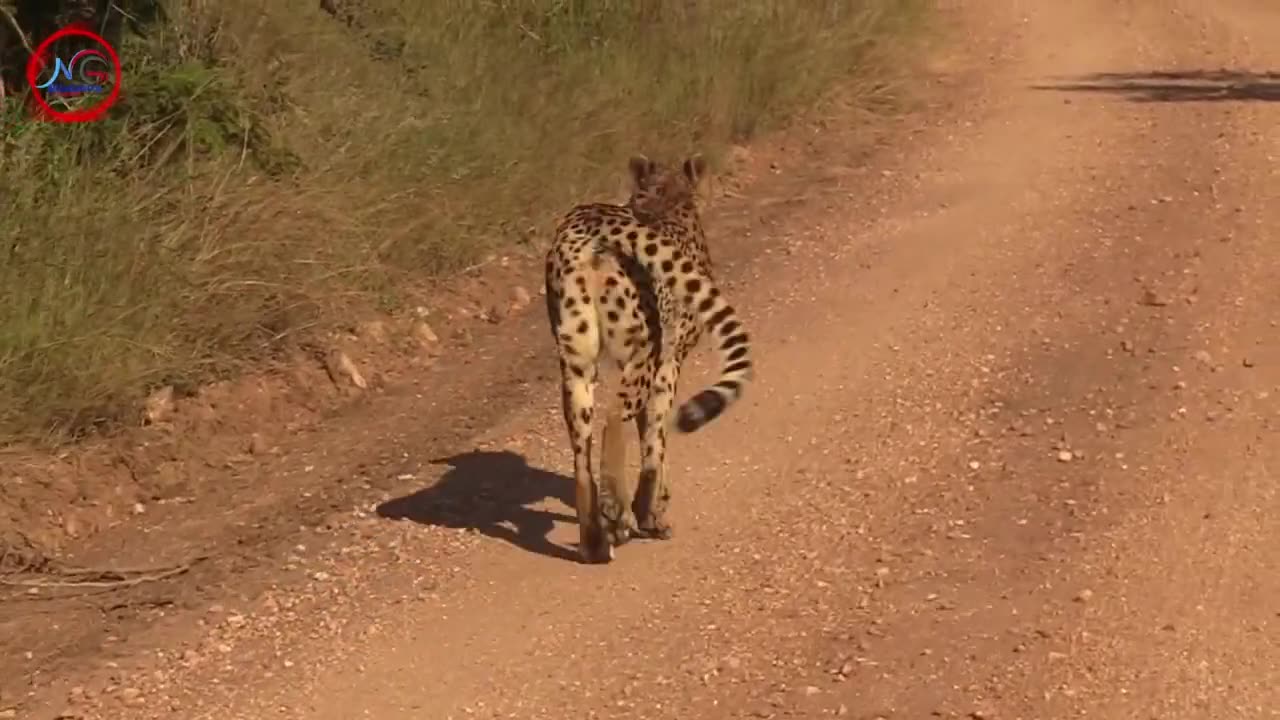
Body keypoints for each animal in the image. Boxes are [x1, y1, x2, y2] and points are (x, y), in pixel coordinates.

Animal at [545, 154, 752, 563]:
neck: (666, 198)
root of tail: (591, 219)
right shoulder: (668, 364)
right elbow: (656, 438)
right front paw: (650, 513)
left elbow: (648, 434)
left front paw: (649, 508)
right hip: (641, 349)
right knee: (612, 418)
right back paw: (616, 508)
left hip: (576, 361)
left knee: (581, 454)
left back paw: (593, 541)